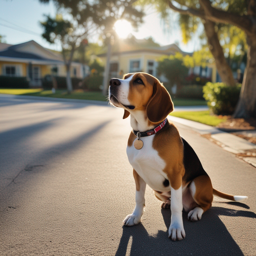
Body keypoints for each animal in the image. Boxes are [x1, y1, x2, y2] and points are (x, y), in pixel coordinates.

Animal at [108, 72, 248, 242]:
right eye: (125, 77)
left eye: (139, 81)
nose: (112, 82)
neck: (146, 134)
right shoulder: (137, 173)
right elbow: (139, 198)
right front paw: (136, 217)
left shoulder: (175, 175)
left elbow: (176, 206)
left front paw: (176, 228)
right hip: (157, 191)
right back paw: (168, 204)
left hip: (198, 182)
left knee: (206, 204)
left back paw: (195, 212)